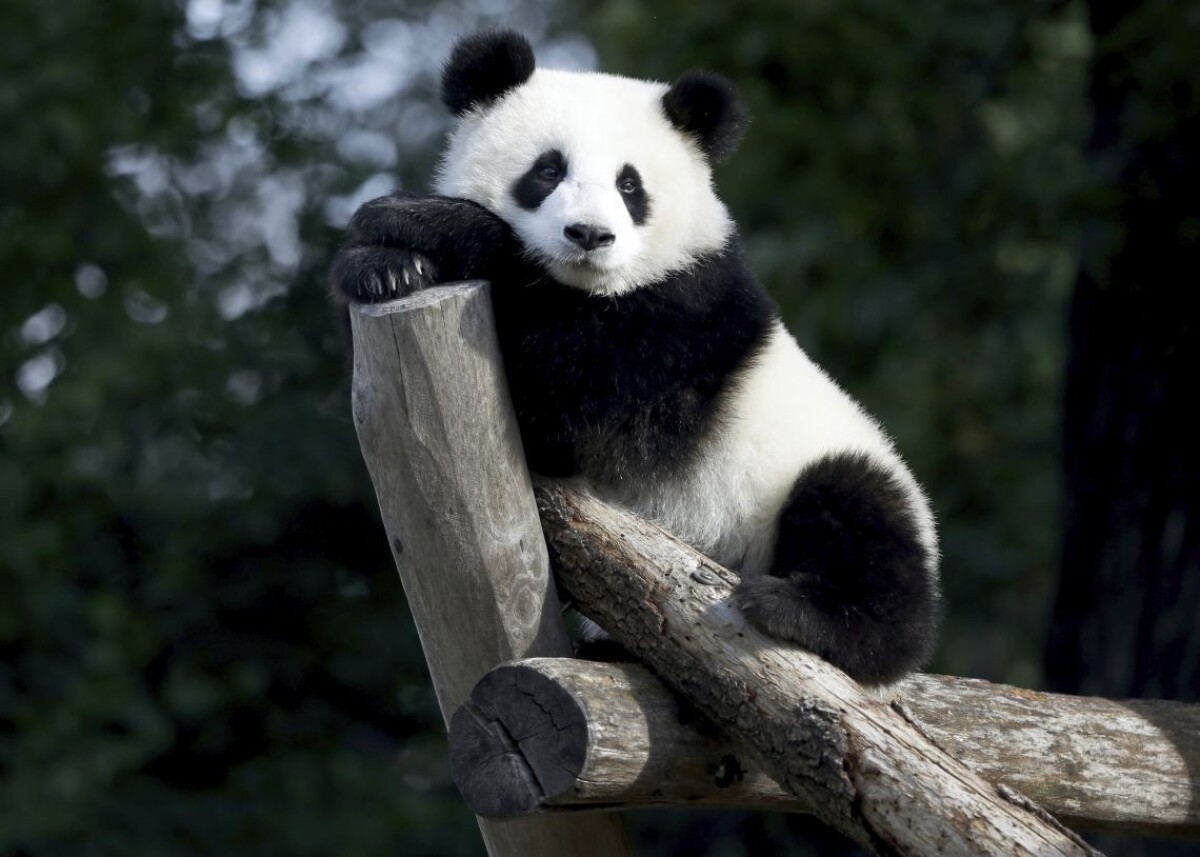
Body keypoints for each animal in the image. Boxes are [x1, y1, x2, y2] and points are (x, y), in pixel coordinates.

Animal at [331, 30, 941, 685]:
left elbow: (575, 406)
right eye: (548, 170)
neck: (597, 286)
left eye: (630, 185)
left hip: (818, 478)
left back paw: (805, 612)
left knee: (859, 518)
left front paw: (424, 222)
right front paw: (383, 267)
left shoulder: (685, 322)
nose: (590, 235)